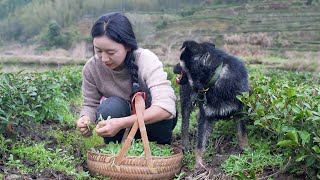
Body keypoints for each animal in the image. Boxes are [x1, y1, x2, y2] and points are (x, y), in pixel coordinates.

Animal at [172, 40, 250, 168]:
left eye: (180, 59)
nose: (173, 68)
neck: (215, 76)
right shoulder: (204, 116)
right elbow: (200, 145)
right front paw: (198, 166)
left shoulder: (239, 112)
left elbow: (242, 134)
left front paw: (246, 152)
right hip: (186, 102)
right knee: (184, 125)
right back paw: (185, 146)